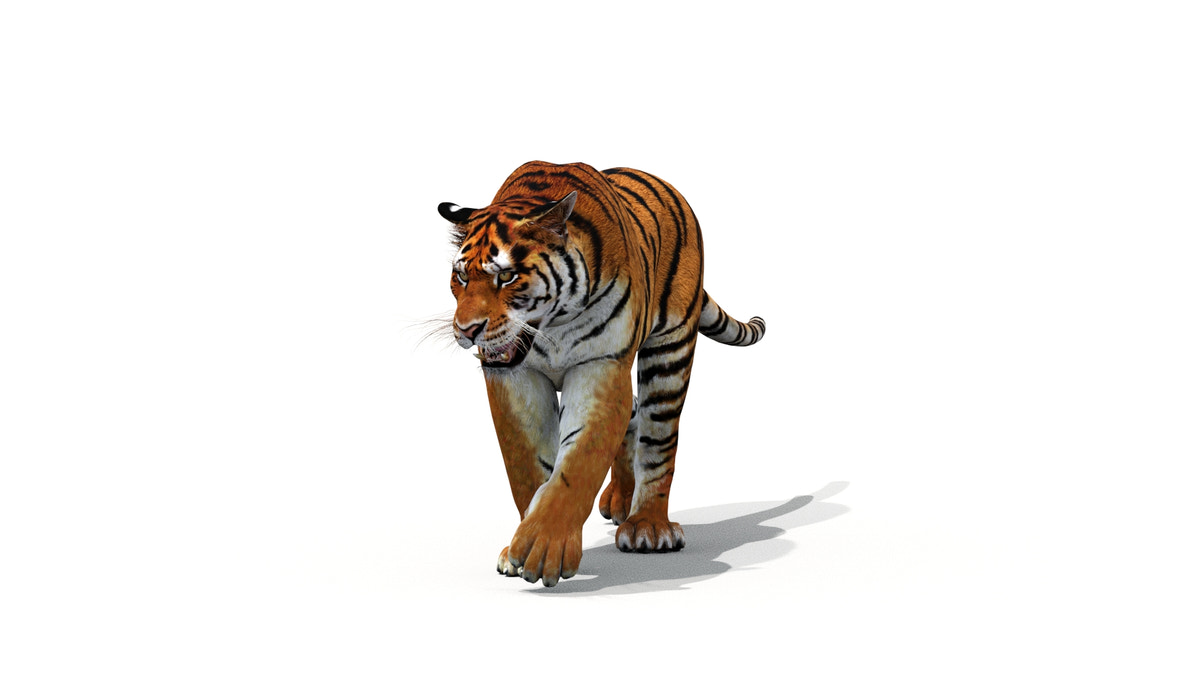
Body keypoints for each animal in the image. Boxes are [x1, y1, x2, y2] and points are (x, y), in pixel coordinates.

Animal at [438, 161, 766, 587]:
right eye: (461, 277)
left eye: (506, 277)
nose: (466, 330)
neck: (553, 327)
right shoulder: (513, 379)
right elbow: (526, 464)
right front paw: (518, 550)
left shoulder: (602, 365)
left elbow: (578, 463)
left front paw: (544, 546)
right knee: (634, 414)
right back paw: (621, 502)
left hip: (670, 352)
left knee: (658, 440)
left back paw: (647, 527)